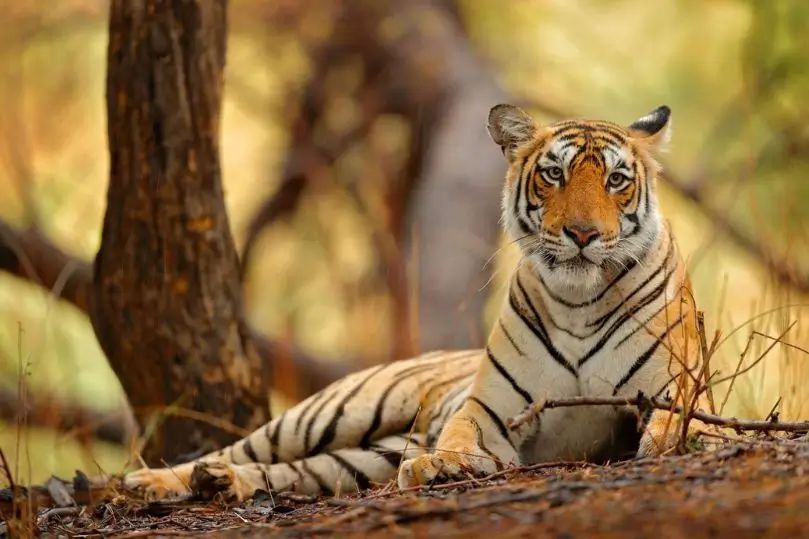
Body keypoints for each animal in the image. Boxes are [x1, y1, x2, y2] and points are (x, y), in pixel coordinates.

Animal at [120, 103, 707, 501]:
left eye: (616, 180)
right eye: (554, 174)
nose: (582, 234)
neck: (577, 301)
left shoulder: (671, 388)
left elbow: (679, 422)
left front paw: (674, 444)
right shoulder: (491, 408)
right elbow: (460, 435)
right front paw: (438, 464)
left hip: (360, 458)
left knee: (291, 473)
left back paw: (219, 484)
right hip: (328, 412)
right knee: (242, 449)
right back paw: (150, 481)